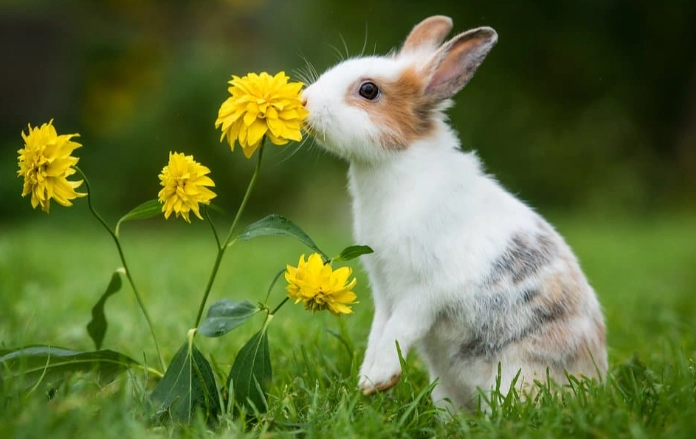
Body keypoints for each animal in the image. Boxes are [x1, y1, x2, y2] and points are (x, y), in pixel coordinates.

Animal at [301, 15, 607, 410]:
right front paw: (367, 381)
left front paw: (376, 379)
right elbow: (379, 329)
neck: (395, 166)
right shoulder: (384, 288)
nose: (304, 101)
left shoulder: (424, 289)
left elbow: (399, 329)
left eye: (368, 90)